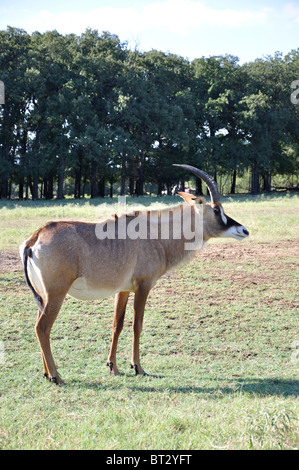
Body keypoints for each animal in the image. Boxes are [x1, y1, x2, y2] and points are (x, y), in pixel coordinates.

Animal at [18, 165, 248, 386]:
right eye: (217, 210)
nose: (244, 230)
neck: (154, 235)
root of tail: (35, 237)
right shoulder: (143, 286)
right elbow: (137, 325)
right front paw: (138, 367)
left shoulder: (123, 290)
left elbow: (117, 325)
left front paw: (113, 367)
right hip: (57, 293)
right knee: (42, 328)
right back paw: (56, 376)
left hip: (44, 296)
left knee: (40, 326)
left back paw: (47, 374)